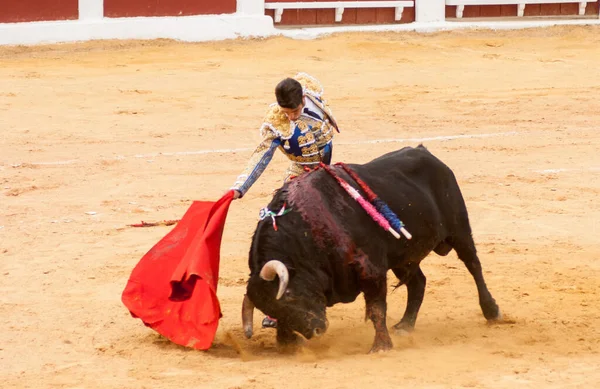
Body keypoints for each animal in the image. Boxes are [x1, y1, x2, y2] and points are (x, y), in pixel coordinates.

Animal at [241, 145, 500, 352]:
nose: (316, 331)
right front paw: (287, 342)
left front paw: (381, 347)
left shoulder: (371, 268)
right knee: (418, 282)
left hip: (459, 229)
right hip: (403, 256)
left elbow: (376, 309)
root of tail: (424, 151)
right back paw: (405, 325)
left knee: (473, 265)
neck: (308, 231)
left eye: (289, 295)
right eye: (270, 308)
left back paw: (492, 311)